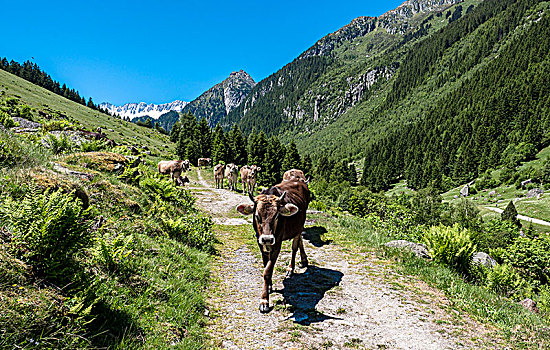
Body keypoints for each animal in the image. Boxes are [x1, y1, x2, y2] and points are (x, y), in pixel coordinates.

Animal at [236, 179, 310, 314]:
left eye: (276, 216)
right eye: (257, 216)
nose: (267, 239)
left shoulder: (277, 244)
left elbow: (267, 271)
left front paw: (264, 301)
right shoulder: (260, 242)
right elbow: (266, 265)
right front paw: (269, 286)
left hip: (300, 225)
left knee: (295, 246)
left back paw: (290, 268)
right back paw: (303, 260)